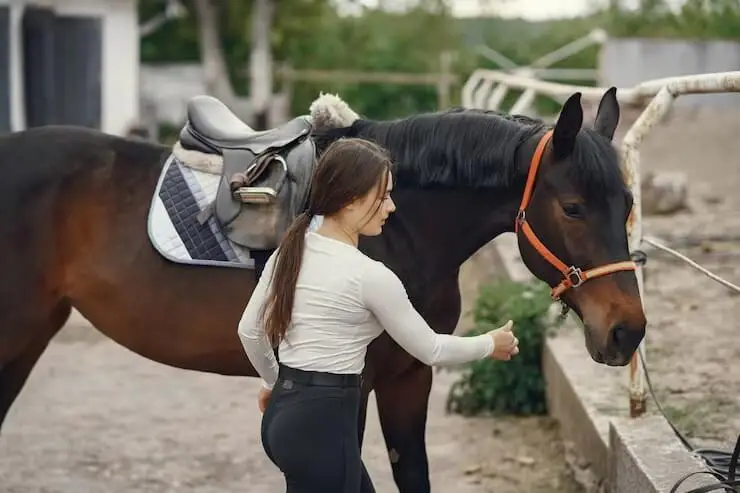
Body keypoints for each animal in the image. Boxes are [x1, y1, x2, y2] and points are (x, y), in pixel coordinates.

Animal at [0, 88, 645, 492]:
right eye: (573, 207)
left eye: (628, 204)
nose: (627, 331)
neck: (396, 229)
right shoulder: (351, 385)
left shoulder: (410, 376)